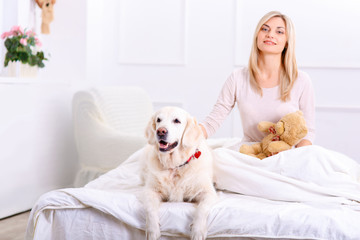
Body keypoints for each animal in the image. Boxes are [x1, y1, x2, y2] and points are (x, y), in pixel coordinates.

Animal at [142, 107, 218, 240]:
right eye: (158, 120)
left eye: (176, 121)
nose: (160, 131)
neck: (175, 166)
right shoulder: (150, 190)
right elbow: (149, 209)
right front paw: (152, 231)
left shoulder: (208, 192)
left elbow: (202, 209)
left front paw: (197, 231)